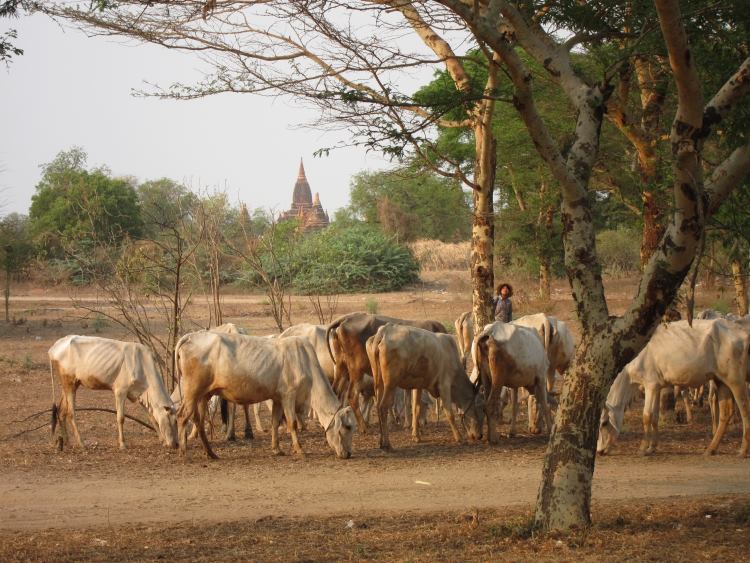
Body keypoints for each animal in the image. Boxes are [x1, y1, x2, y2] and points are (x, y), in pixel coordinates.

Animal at [50, 338, 179, 452]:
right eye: (172, 420)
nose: (176, 444)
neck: (142, 364)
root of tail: (53, 348)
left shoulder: (140, 395)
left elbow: (151, 417)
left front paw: (162, 441)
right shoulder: (120, 391)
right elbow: (120, 418)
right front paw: (122, 444)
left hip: (71, 385)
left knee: (61, 411)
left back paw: (67, 442)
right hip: (69, 383)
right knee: (71, 413)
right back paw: (81, 443)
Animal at [175, 332, 356, 460]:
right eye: (347, 426)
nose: (348, 454)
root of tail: (190, 336)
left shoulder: (277, 398)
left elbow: (275, 422)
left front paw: (277, 449)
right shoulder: (289, 395)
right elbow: (292, 423)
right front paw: (300, 449)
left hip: (203, 395)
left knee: (198, 421)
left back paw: (211, 453)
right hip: (192, 391)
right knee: (182, 416)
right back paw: (184, 453)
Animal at [600, 320, 750, 456]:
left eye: (604, 423)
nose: (600, 451)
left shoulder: (650, 385)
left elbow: (646, 416)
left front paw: (642, 449)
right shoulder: (657, 387)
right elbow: (655, 417)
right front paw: (652, 447)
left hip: (736, 381)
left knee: (745, 410)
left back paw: (742, 450)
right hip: (720, 380)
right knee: (726, 413)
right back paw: (710, 449)